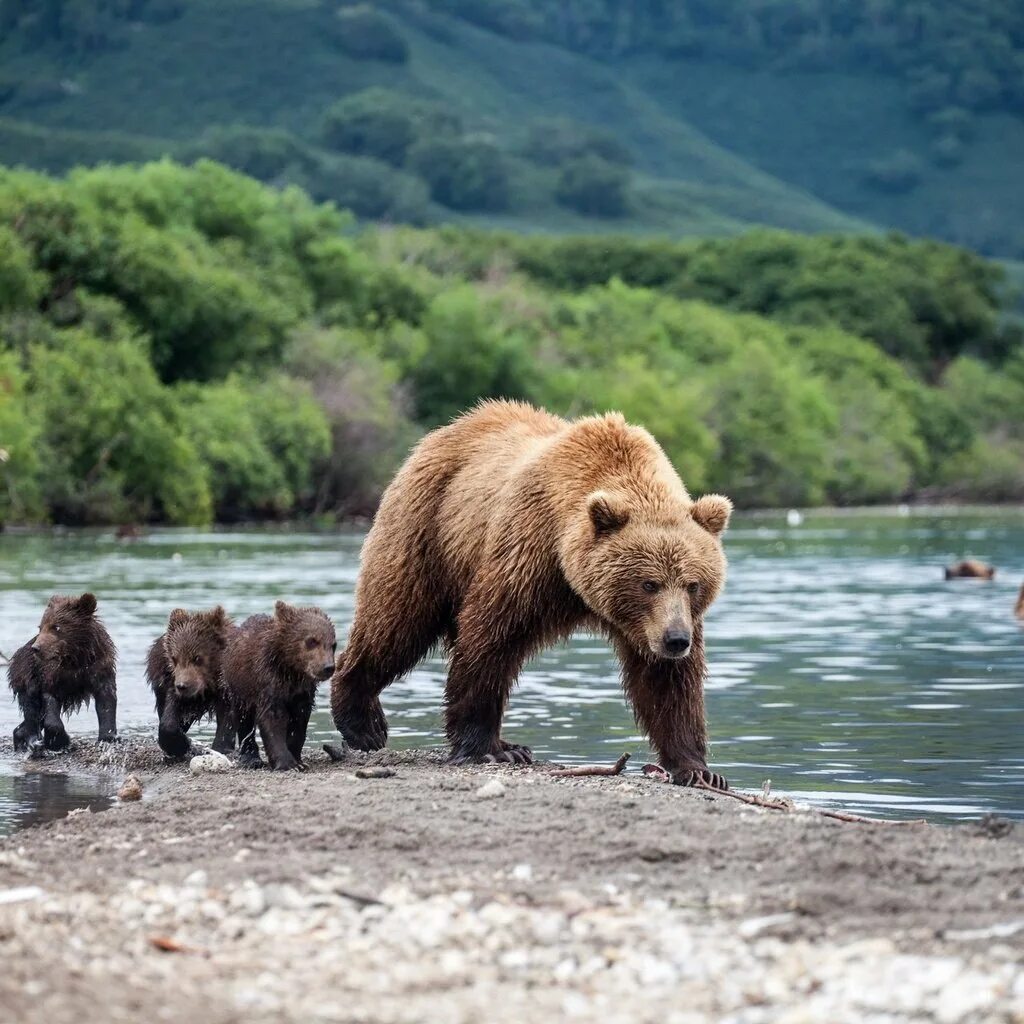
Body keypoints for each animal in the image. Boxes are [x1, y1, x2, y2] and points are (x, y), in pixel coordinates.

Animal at [331, 397, 733, 782]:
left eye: (693, 584)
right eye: (649, 583)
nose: (676, 640)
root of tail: (448, 429)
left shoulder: (654, 623)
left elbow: (668, 683)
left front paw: (698, 769)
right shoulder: (528, 555)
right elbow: (490, 638)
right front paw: (486, 748)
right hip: (426, 528)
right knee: (396, 620)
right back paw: (363, 722)